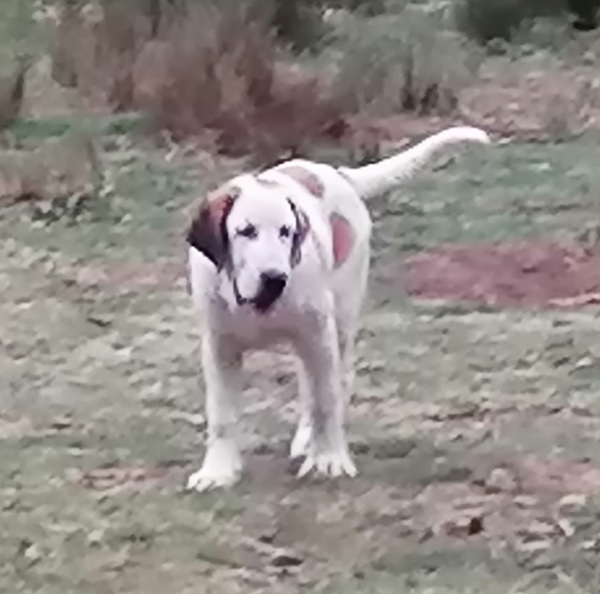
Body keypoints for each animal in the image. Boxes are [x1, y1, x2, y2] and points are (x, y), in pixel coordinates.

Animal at [185, 126, 490, 490]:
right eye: (246, 231)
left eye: (286, 232)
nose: (274, 278)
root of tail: (340, 175)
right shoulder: (219, 345)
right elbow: (222, 413)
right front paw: (217, 471)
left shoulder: (318, 334)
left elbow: (326, 400)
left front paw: (329, 460)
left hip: (339, 318)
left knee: (332, 382)